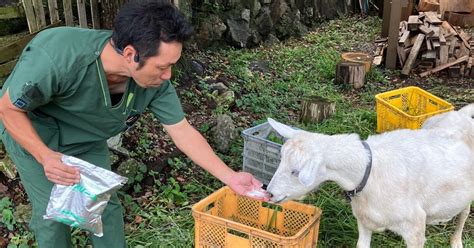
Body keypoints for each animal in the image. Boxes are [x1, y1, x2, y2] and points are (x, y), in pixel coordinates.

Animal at [266, 103, 474, 247]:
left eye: (296, 171)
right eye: (281, 159)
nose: (269, 193)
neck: (368, 173)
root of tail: (461, 114)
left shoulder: (414, 228)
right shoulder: (364, 220)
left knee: (464, 213)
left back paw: (456, 241)